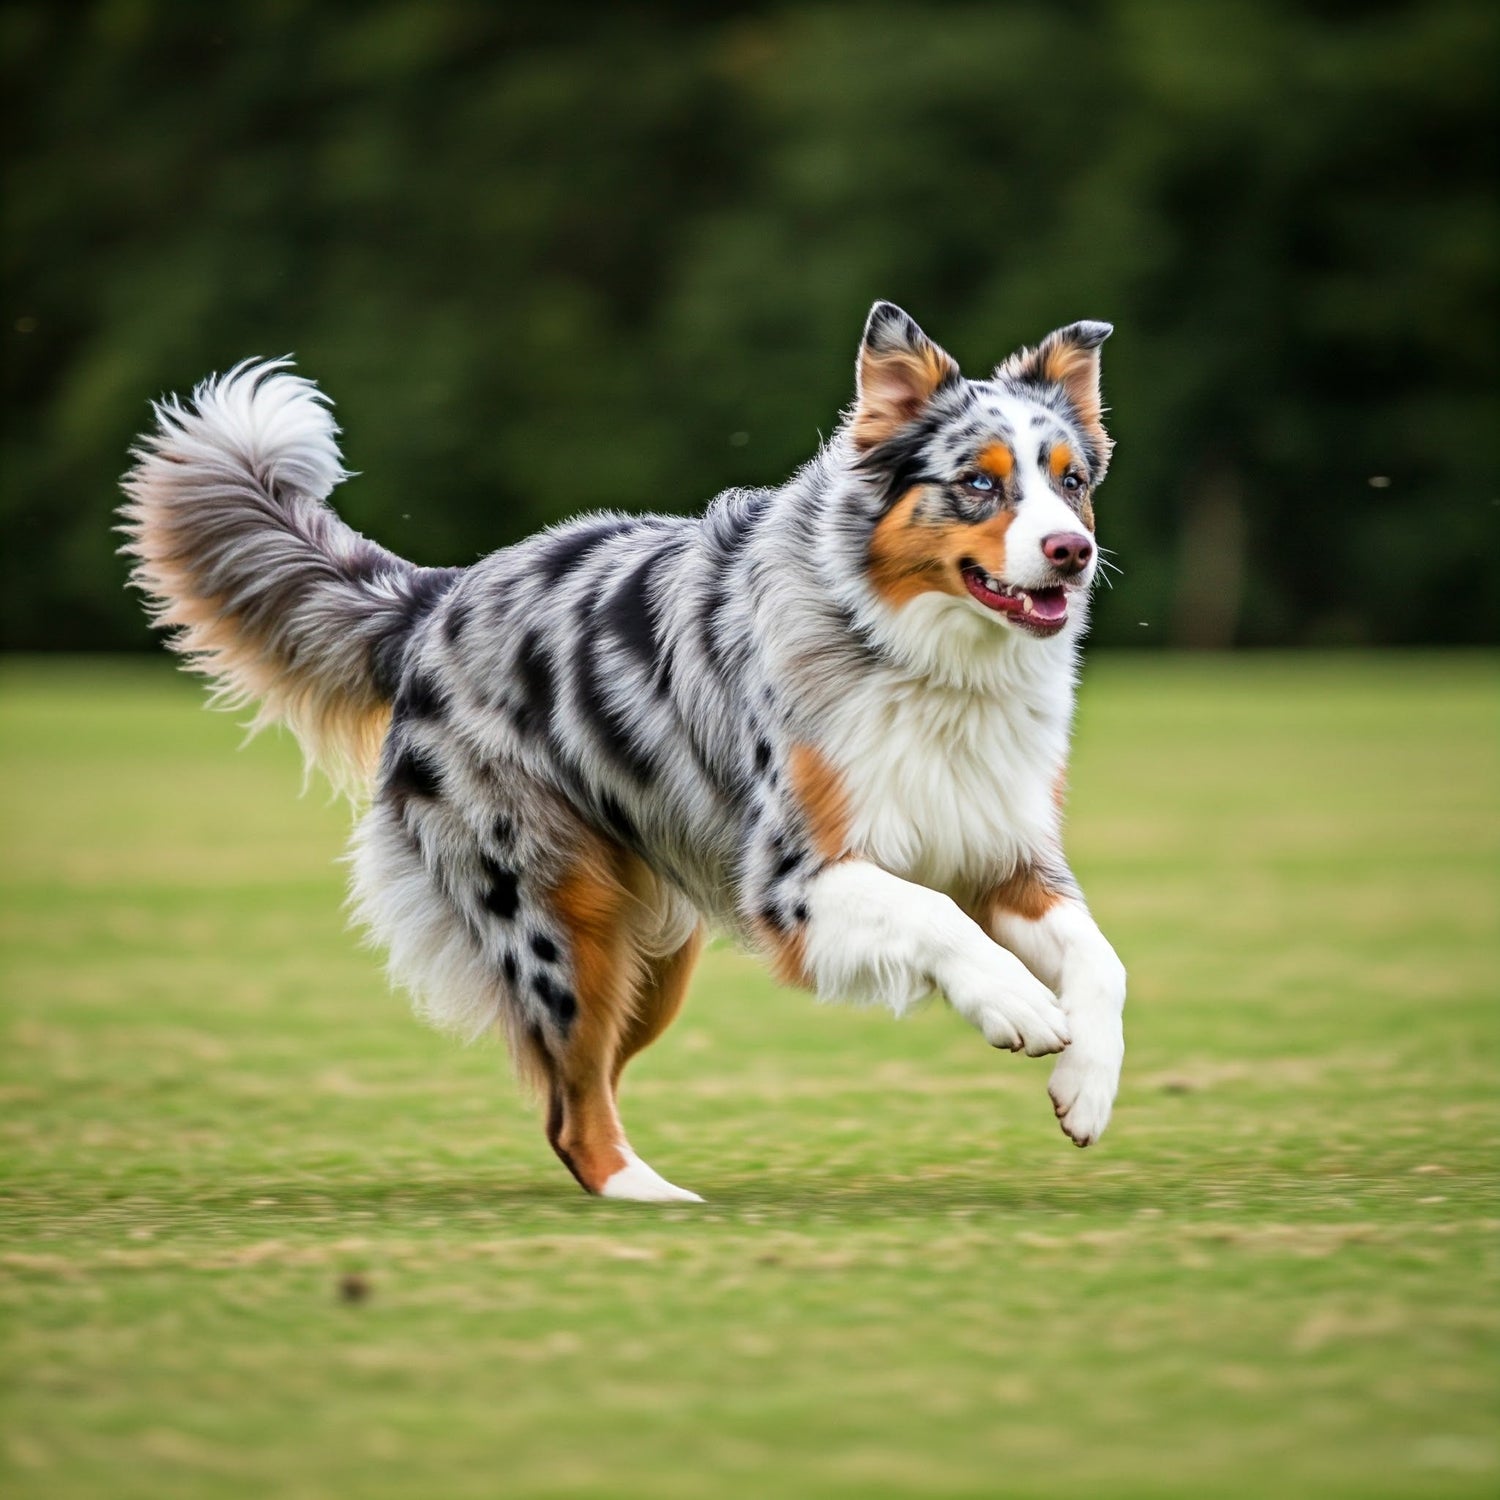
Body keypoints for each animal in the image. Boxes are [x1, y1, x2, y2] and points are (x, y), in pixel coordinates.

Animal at [120, 307, 1128, 1206]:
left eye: (1073, 481)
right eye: (979, 484)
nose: (1072, 552)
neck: (928, 662)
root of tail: (434, 600)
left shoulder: (1003, 851)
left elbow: (1101, 959)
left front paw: (1085, 1084)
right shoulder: (793, 880)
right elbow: (935, 916)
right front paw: (1020, 1008)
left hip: (650, 950)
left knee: (578, 1084)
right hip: (562, 922)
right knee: (571, 1100)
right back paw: (648, 1194)